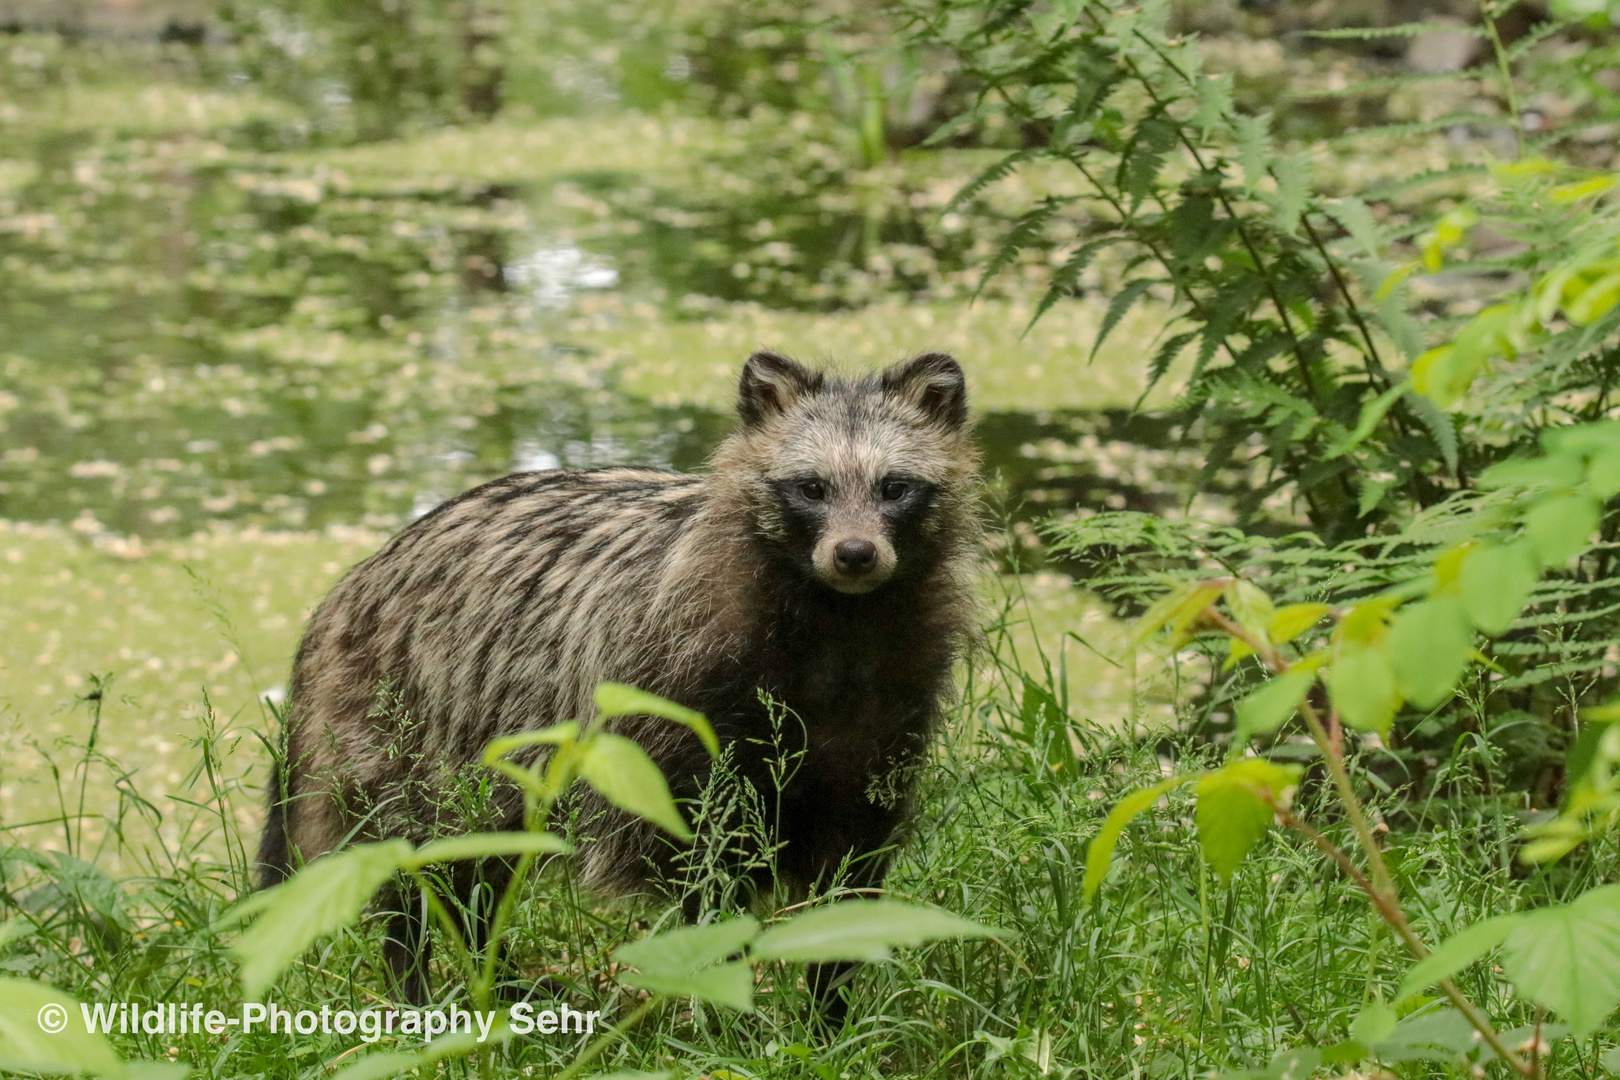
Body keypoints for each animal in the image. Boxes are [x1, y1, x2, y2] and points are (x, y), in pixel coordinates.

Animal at [259, 352, 978, 1016]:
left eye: (894, 487)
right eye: (811, 487)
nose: (855, 554)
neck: (840, 622)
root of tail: (345, 590)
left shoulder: (885, 716)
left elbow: (852, 873)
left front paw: (832, 1013)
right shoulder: (683, 696)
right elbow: (699, 860)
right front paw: (729, 1013)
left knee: (481, 870)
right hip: (410, 725)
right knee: (419, 867)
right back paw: (416, 981)